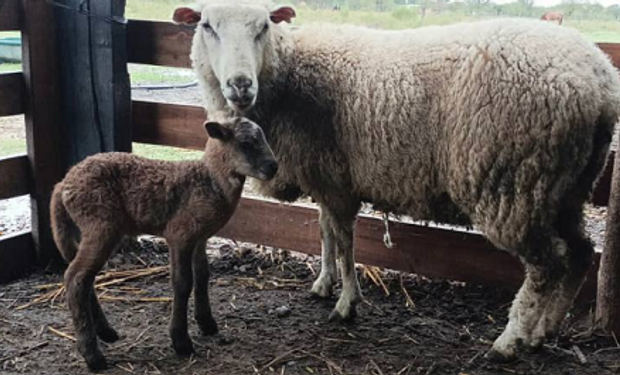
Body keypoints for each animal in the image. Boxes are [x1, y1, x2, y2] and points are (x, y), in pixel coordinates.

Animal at [49, 118, 278, 374]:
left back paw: (106, 332)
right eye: (246, 143)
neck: (210, 182)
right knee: (76, 278)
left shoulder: (200, 238)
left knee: (84, 278)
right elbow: (183, 282)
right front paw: (181, 341)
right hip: (99, 224)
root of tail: (62, 185)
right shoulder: (180, 233)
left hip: (94, 228)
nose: (273, 167)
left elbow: (203, 276)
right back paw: (92, 355)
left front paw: (207, 323)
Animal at [172, 1, 620, 362]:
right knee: (581, 253)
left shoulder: (335, 179)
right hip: (564, 187)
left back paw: (510, 341)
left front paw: (347, 303)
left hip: (514, 183)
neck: (288, 76)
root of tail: (600, 80)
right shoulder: (326, 175)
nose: (240, 85)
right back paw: (545, 332)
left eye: (263, 25)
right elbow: (325, 232)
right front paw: (323, 284)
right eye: (207, 25)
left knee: (548, 264)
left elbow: (344, 241)